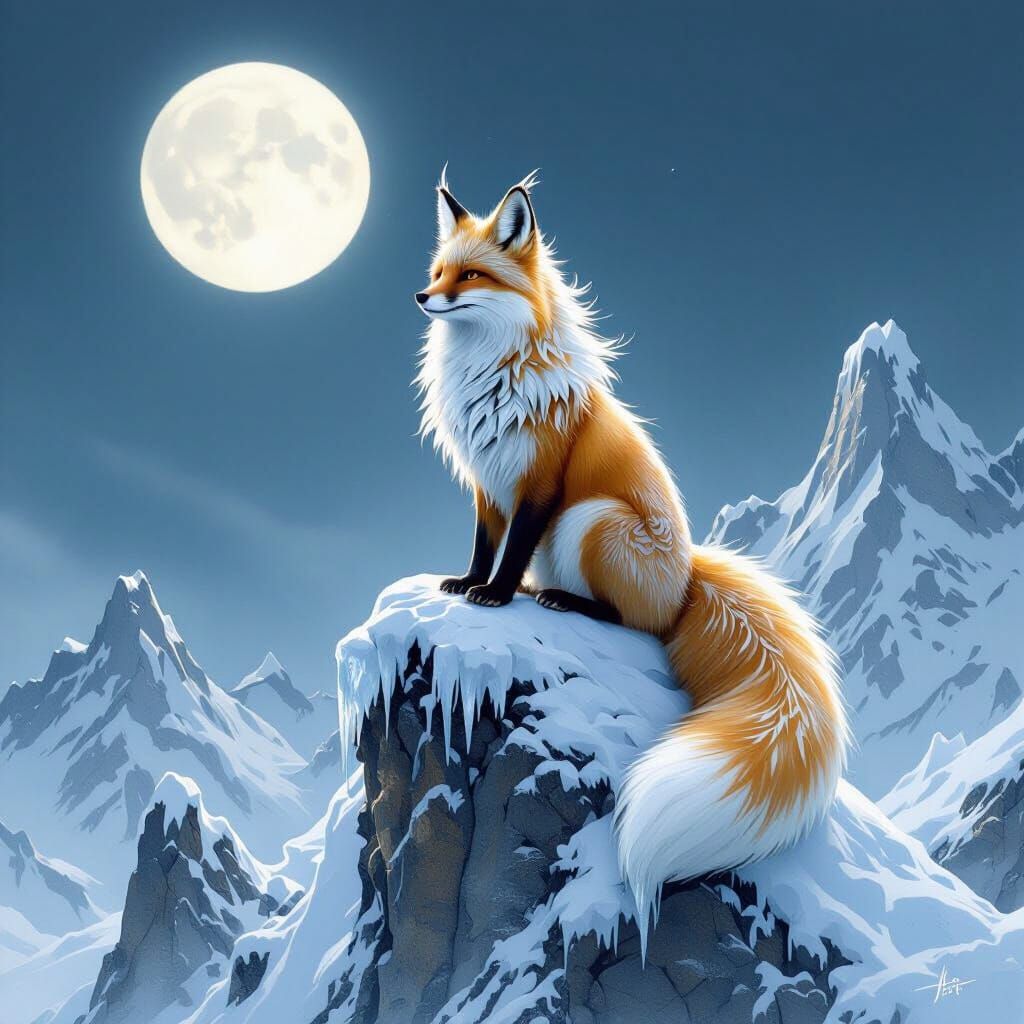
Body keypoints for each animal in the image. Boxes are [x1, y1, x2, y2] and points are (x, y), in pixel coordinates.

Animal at [414, 170, 849, 923]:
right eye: (439, 271)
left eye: (469, 276)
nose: (421, 296)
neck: (493, 376)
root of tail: (687, 578)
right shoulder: (486, 484)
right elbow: (482, 545)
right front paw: (470, 583)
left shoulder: (540, 482)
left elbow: (514, 546)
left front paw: (495, 596)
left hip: (590, 519)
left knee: (635, 621)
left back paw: (561, 600)